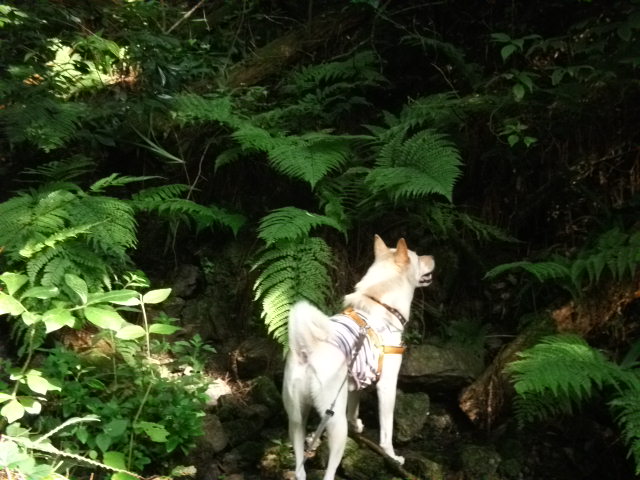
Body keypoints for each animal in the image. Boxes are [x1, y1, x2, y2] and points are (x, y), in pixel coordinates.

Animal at [282, 235, 435, 480]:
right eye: (417, 257)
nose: (431, 256)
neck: (381, 302)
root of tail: (308, 349)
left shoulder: (355, 381)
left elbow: (354, 408)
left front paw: (357, 425)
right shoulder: (387, 385)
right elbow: (386, 431)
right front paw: (393, 457)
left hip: (296, 420)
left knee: (300, 468)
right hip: (335, 424)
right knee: (329, 471)